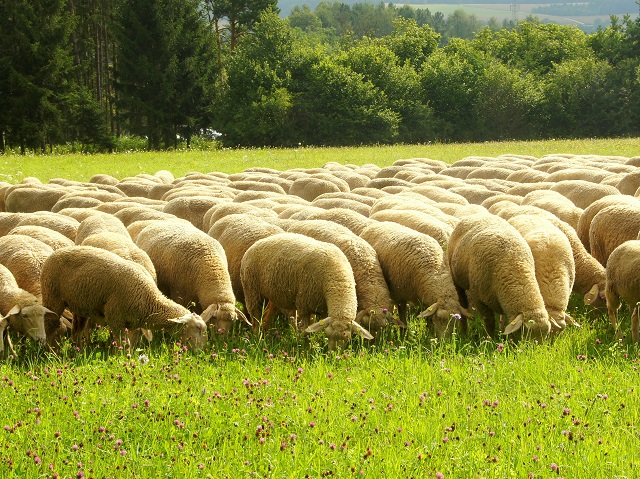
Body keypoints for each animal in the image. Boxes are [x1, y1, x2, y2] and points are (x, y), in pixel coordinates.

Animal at [40, 246, 207, 350]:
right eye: (197, 328)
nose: (200, 352)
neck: (150, 299)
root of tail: (54, 253)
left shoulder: (133, 324)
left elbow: (130, 344)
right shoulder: (116, 320)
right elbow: (120, 344)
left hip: (80, 305)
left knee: (77, 330)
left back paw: (79, 349)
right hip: (52, 296)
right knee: (50, 323)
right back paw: (50, 350)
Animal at [240, 233, 373, 349]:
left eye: (347, 338)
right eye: (328, 335)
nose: (334, 354)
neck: (338, 280)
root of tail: (256, 243)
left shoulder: (319, 306)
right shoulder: (304, 305)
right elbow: (306, 331)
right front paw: (306, 347)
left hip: (275, 294)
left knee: (268, 313)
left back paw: (265, 334)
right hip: (252, 289)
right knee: (255, 316)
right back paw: (257, 338)